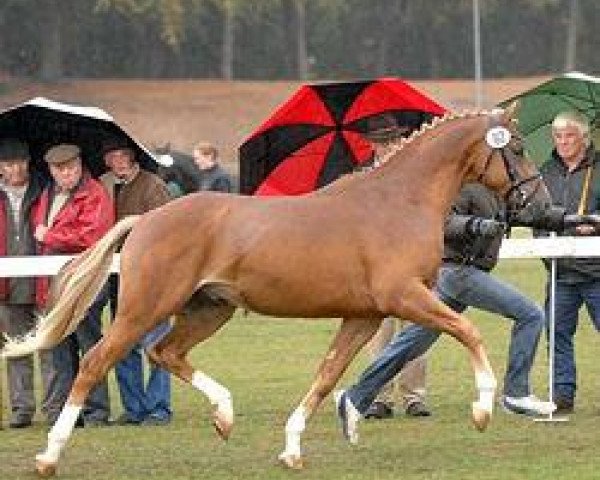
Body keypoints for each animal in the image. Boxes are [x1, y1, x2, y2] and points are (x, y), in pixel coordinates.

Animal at [3, 105, 548, 476]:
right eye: (517, 147)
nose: (539, 204)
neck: (396, 201)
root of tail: (146, 219)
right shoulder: (405, 297)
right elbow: (469, 331)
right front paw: (482, 410)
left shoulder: (365, 315)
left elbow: (328, 374)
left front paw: (292, 448)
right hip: (144, 308)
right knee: (97, 362)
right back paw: (49, 455)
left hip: (207, 310)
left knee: (165, 353)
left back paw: (224, 415)